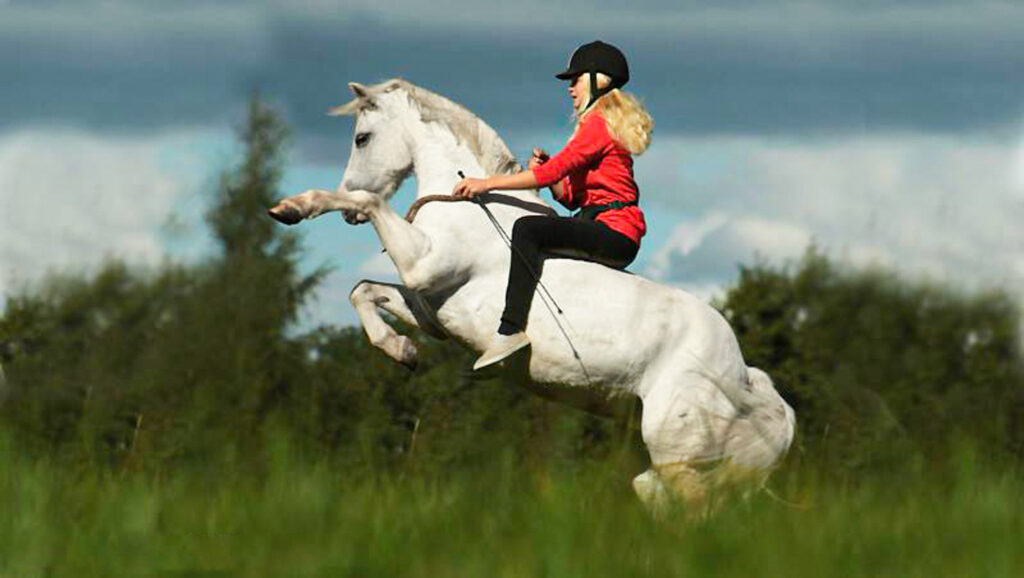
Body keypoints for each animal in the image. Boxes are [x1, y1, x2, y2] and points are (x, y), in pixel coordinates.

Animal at [268, 78, 794, 512]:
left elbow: (372, 204)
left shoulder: (422, 265)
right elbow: (364, 292)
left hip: (677, 447)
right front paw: (402, 352)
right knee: (659, 496)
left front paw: (294, 207)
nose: (348, 217)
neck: (467, 201)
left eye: (362, 138)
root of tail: (747, 380)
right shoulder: (430, 306)